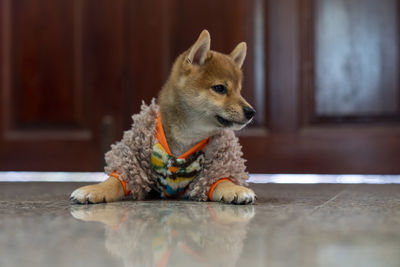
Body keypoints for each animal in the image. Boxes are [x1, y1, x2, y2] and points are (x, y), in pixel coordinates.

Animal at [71, 29, 256, 205]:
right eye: (219, 88)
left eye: (239, 91)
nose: (251, 111)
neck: (187, 137)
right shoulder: (135, 158)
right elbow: (117, 180)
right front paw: (96, 189)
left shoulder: (217, 163)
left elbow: (221, 180)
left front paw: (235, 189)